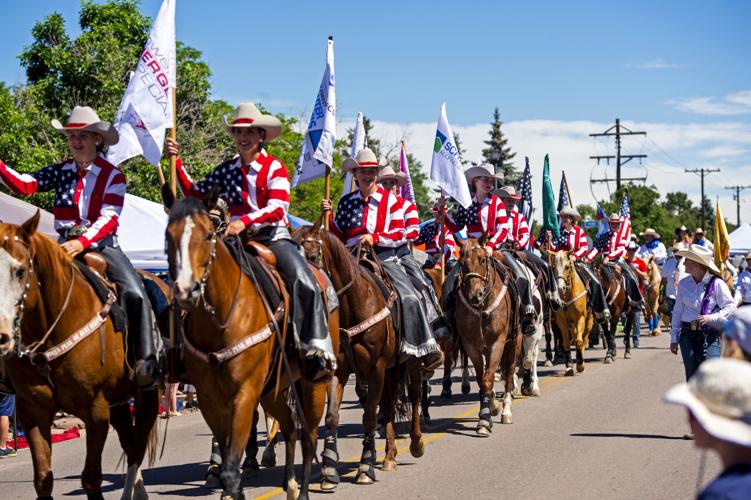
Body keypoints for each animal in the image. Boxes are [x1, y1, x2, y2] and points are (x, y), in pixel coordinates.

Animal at [0, 213, 159, 498]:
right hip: (119, 403)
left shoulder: (95, 410)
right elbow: (43, 479)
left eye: (19, 270)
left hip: (147, 395)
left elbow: (91, 478)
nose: (2, 334)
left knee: (137, 448)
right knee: (131, 445)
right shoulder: (33, 411)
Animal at [168, 197, 340, 498]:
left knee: (309, 436)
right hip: (275, 388)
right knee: (290, 426)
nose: (184, 289)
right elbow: (227, 454)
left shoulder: (245, 392)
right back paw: (289, 481)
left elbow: (232, 463)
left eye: (209, 234)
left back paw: (306, 486)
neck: (223, 317)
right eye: (169, 235)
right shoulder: (209, 397)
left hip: (312, 385)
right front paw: (224, 479)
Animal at [294, 226, 426, 488]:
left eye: (312, 257)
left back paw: (416, 444)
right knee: (388, 406)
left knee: (415, 397)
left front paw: (365, 467)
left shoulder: (375, 368)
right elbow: (332, 417)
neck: (354, 306)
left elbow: (369, 418)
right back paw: (389, 456)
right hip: (390, 370)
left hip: (410, 363)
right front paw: (328, 470)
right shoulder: (340, 370)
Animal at [450, 238, 520, 434]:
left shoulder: (498, 343)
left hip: (514, 342)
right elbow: (483, 380)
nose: (476, 294)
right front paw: (487, 411)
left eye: (482, 260)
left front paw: (485, 420)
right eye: (462, 262)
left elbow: (489, 379)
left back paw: (506, 411)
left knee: (509, 373)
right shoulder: (471, 345)